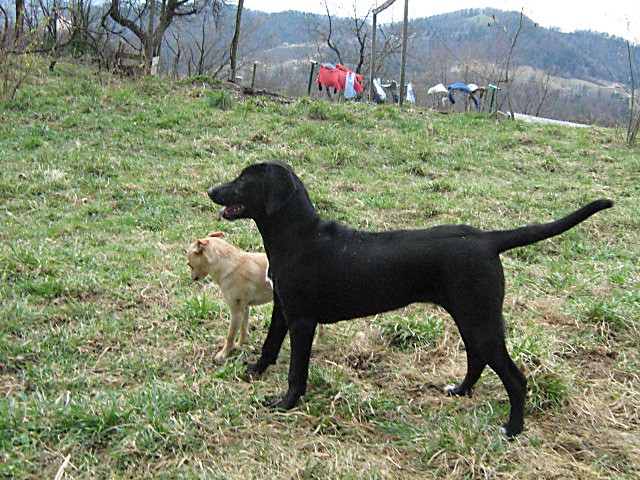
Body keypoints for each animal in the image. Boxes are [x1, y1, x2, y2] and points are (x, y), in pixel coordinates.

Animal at [208, 160, 612, 436]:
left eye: (244, 180)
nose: (211, 190)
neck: (298, 235)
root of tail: (486, 239)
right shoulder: (283, 308)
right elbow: (269, 345)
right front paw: (254, 372)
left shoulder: (303, 321)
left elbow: (296, 370)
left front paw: (286, 404)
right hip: (471, 317)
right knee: (477, 360)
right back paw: (460, 391)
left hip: (480, 319)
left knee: (515, 378)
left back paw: (512, 430)